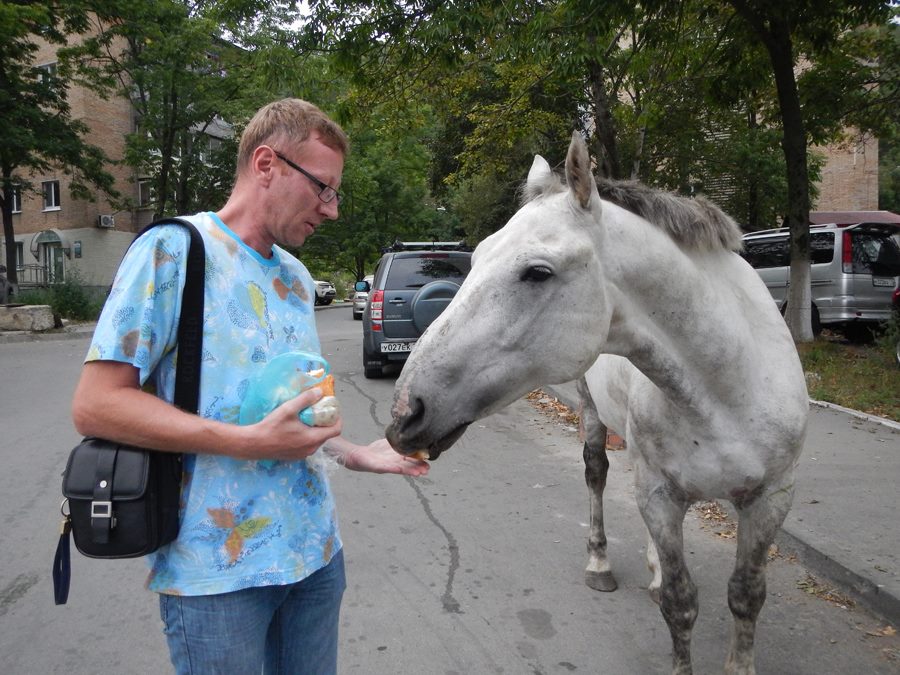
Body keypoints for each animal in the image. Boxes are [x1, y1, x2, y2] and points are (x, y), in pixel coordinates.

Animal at [386, 133, 808, 675]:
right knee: (597, 473)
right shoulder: (659, 493)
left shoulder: (772, 498)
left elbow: (746, 596)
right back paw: (601, 563)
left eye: (537, 272)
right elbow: (680, 603)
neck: (728, 387)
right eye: (475, 258)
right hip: (593, 416)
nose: (406, 411)